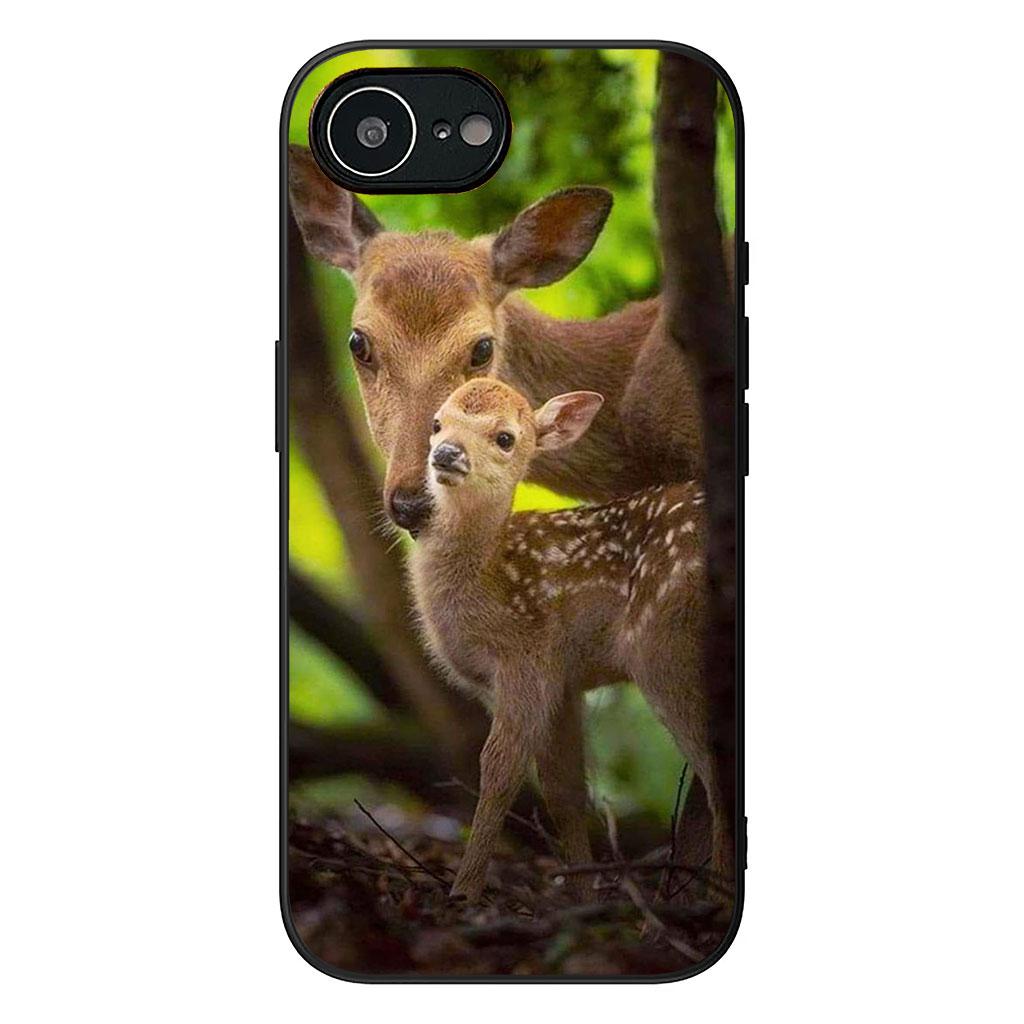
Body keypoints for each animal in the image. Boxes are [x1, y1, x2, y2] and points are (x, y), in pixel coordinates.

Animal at [407, 377, 731, 901]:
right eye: (437, 423)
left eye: (505, 437)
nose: (447, 453)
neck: (488, 575)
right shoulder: (562, 680)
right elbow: (564, 790)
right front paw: (583, 894)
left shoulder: (526, 655)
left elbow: (500, 768)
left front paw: (463, 891)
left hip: (663, 641)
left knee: (715, 769)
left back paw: (714, 895)